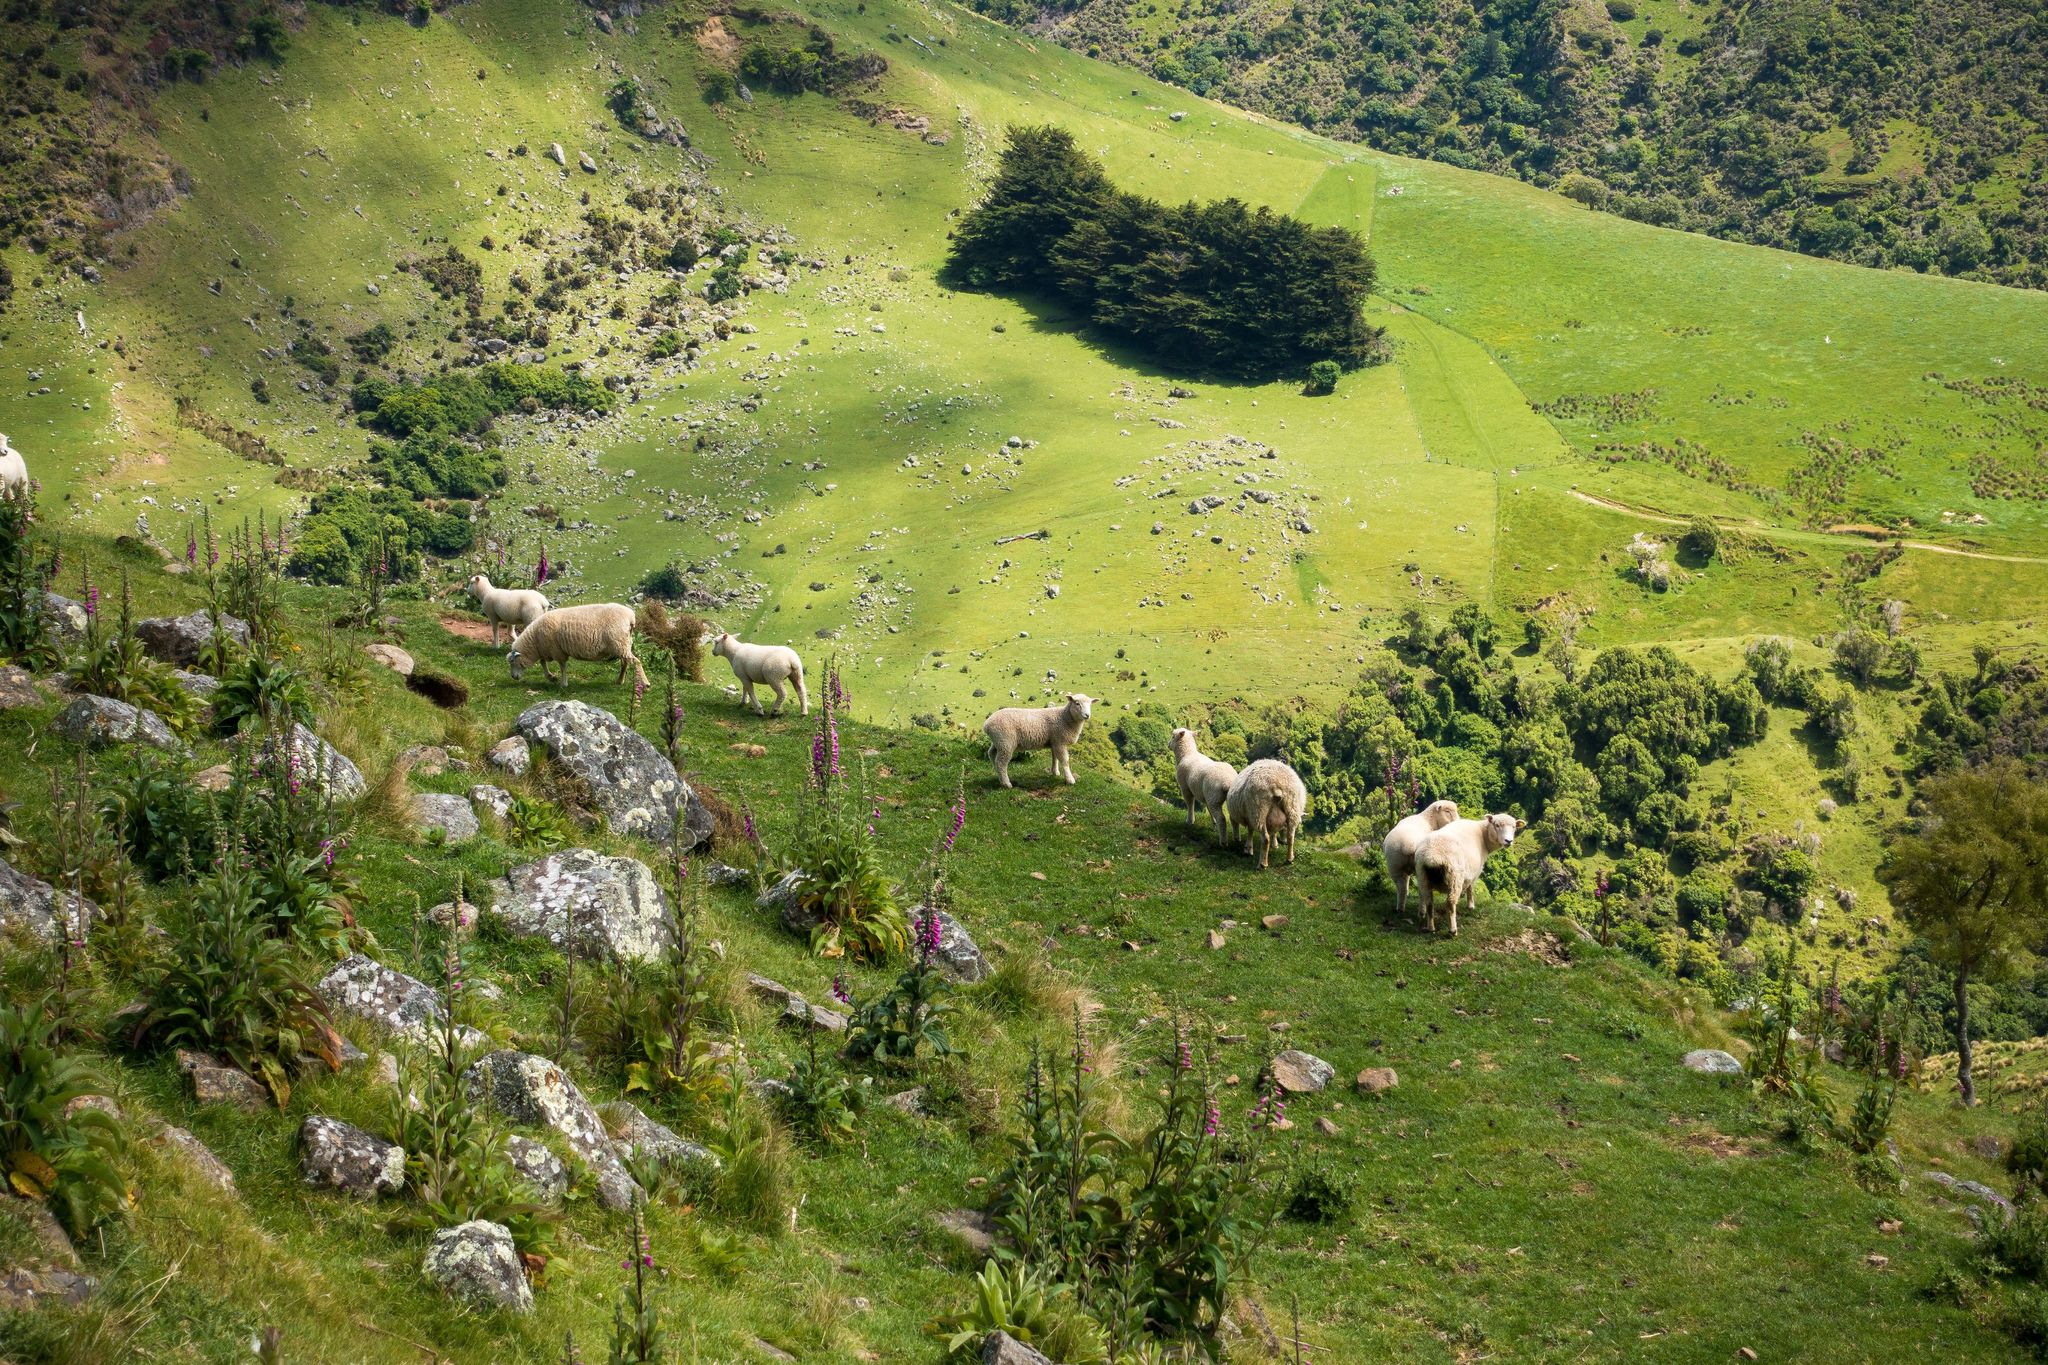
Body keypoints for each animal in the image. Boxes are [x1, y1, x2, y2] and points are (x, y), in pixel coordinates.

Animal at [507, 605, 643, 695]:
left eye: (512, 662)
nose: (513, 677)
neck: (534, 641)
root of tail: (631, 617)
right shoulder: (545, 650)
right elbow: (542, 662)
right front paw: (551, 677)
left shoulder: (557, 651)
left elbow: (562, 667)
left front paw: (563, 683)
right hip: (624, 644)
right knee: (625, 663)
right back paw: (620, 681)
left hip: (619, 643)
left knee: (636, 662)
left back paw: (644, 683)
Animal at [1417, 810, 1531, 941]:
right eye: (1497, 825)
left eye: (1514, 827)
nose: (1508, 841)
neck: (1484, 835)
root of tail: (1432, 856)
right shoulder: (1476, 871)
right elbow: (1471, 888)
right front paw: (1471, 906)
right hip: (1455, 877)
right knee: (1450, 903)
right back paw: (1453, 930)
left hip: (1422, 876)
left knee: (1429, 902)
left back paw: (1431, 928)